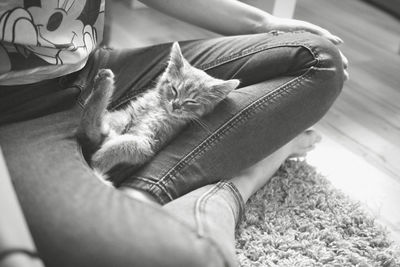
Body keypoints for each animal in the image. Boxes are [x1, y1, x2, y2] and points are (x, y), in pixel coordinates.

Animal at [78, 43, 241, 175]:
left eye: (191, 101)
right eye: (174, 89)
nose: (176, 105)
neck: (158, 109)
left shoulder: (149, 143)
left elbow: (125, 145)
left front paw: (99, 162)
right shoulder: (125, 115)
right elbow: (89, 120)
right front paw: (102, 86)